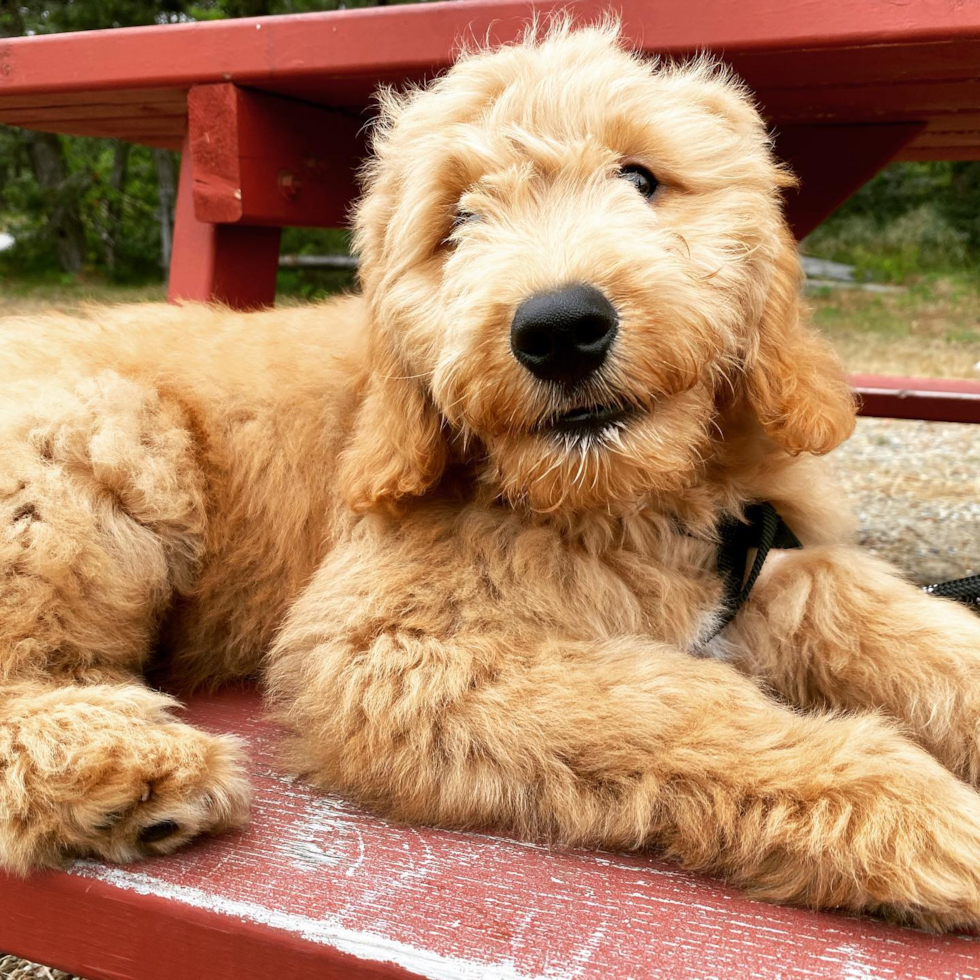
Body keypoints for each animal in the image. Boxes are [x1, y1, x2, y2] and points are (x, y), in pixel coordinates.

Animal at [1, 19, 980, 932]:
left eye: (640, 177)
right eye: (458, 222)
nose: (560, 328)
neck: (622, 498)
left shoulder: (762, 553)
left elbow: (874, 611)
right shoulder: (378, 650)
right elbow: (663, 697)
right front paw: (912, 811)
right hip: (91, 441)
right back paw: (127, 770)